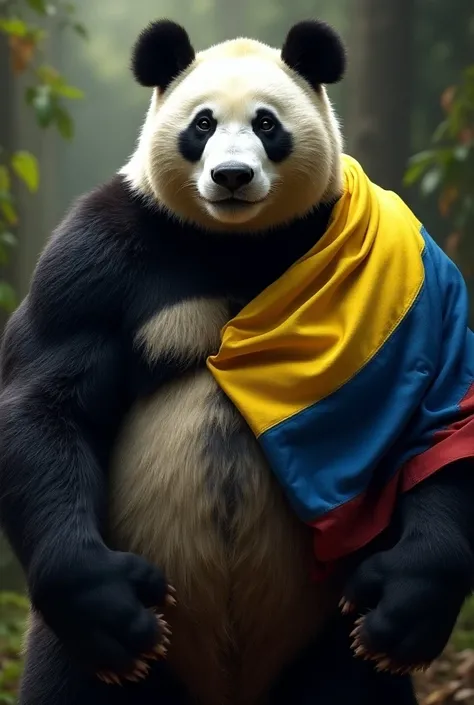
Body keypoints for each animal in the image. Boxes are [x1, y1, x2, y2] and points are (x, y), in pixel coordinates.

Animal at [0, 17, 474, 705]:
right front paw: (105, 602)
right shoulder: (98, 255)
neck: (236, 241)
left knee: (350, 679)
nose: (230, 177)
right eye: (201, 124)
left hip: (324, 629)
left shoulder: (405, 275)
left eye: (266, 124)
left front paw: (408, 606)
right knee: (67, 680)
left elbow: (438, 417)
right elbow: (47, 399)